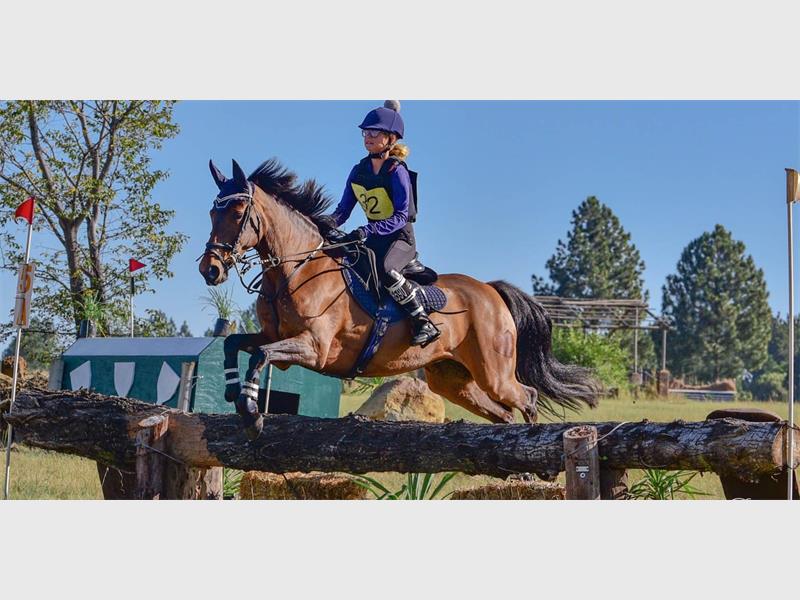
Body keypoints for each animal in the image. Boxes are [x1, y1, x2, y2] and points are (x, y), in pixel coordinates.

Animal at [199, 159, 599, 440]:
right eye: (212, 211)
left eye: (238, 212)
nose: (210, 270)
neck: (295, 271)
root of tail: (490, 290)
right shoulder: (275, 338)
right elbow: (235, 344)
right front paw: (233, 392)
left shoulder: (314, 347)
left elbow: (260, 356)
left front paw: (251, 414)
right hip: (453, 380)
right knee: (502, 413)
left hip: (494, 373)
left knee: (527, 398)